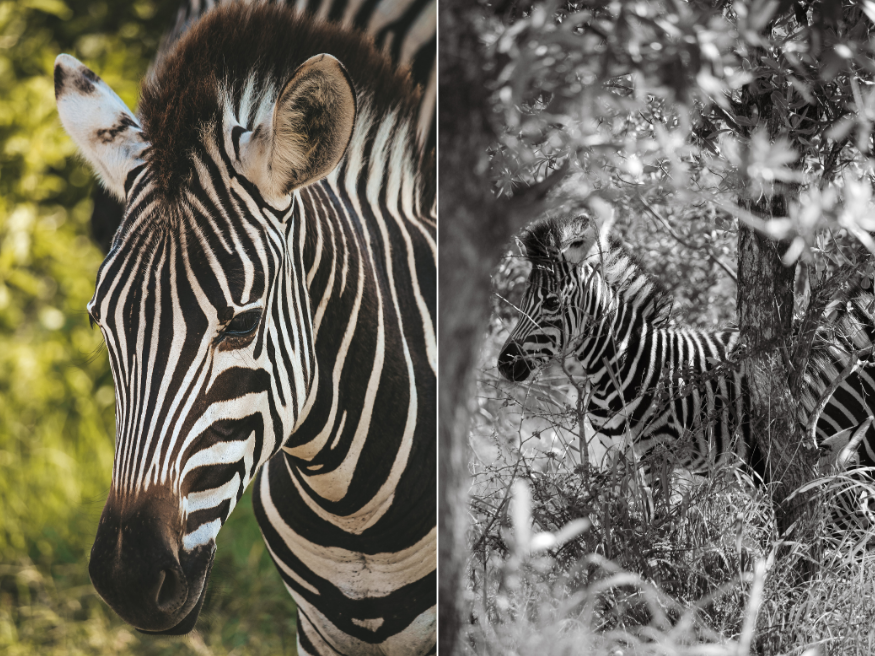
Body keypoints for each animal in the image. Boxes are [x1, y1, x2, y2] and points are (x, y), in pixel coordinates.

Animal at [497, 214, 875, 483]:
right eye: (522, 300)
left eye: (551, 302)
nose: (504, 363)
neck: (623, 363)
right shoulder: (617, 456)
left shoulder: (658, 456)